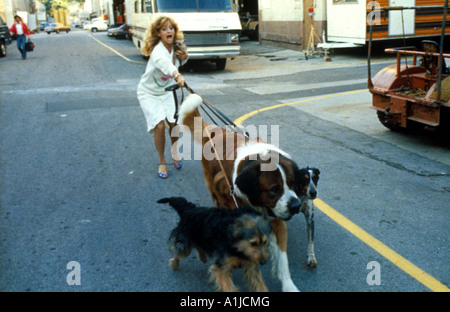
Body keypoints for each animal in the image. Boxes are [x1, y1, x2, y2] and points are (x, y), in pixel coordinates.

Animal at [178, 94, 314, 292]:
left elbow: (283, 259)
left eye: (292, 184)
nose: (296, 206)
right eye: (274, 189)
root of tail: (215, 130)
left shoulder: (278, 219)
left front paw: (288, 285)